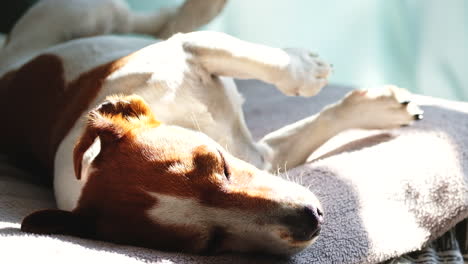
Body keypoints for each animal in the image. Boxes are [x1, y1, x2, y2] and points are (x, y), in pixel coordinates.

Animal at [0, 0, 422, 256]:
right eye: (210, 243)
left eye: (218, 164)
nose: (310, 219)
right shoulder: (263, 158)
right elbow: (320, 122)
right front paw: (378, 109)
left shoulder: (190, 51)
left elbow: (271, 64)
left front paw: (307, 69)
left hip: (88, 14)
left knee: (147, 22)